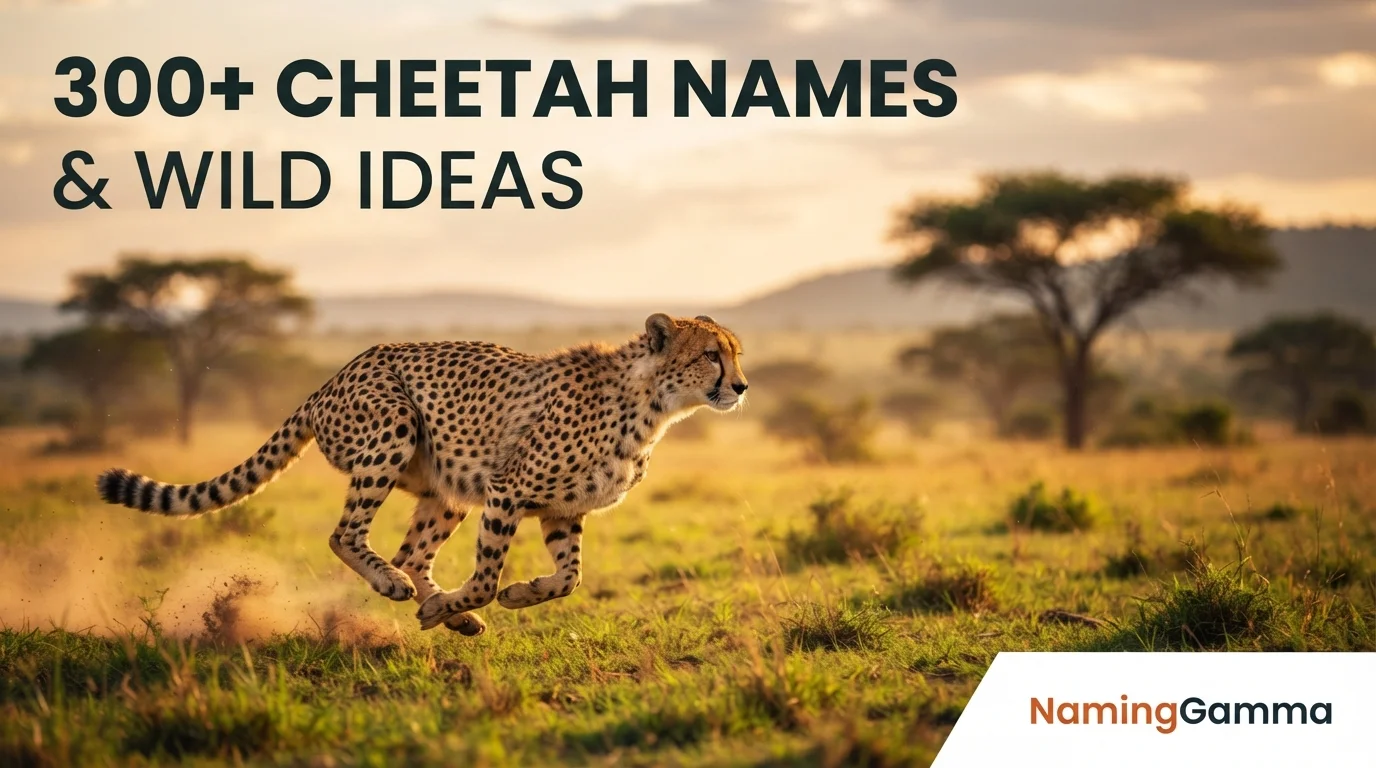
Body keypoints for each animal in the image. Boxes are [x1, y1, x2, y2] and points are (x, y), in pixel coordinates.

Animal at [95, 313, 748, 636]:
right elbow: (486, 575)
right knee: (347, 536)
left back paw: (446, 612)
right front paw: (479, 597)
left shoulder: (562, 509)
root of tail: (332, 377)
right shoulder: (507, 490)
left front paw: (516, 595)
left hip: (448, 489)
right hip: (394, 428)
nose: (741, 386)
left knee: (412, 553)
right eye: (710, 355)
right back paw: (399, 589)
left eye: (736, 353)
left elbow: (570, 578)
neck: (653, 406)